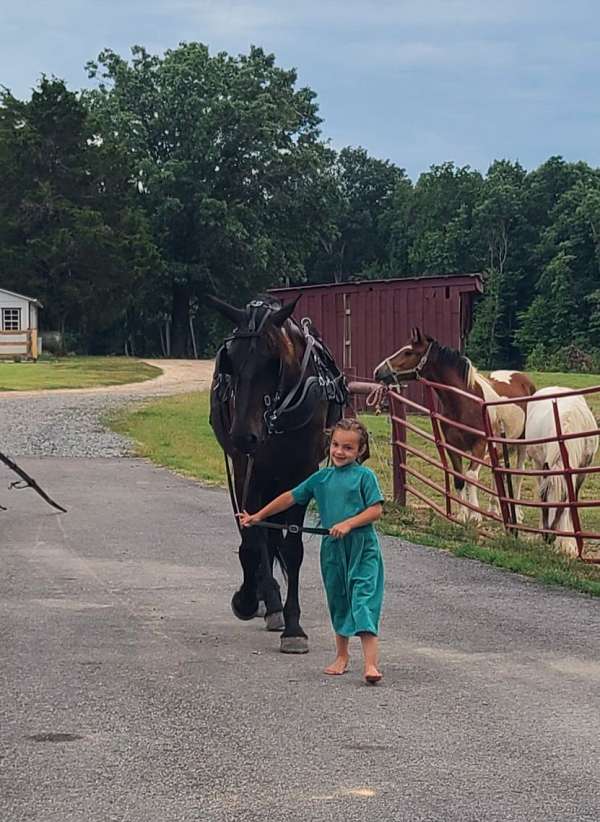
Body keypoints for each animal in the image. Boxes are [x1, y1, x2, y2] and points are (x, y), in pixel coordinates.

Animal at [209, 292, 346, 652]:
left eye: (273, 360)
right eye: (230, 360)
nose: (245, 435)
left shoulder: (302, 472)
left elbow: (292, 549)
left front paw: (294, 627)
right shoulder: (247, 469)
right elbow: (253, 539)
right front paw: (247, 598)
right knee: (261, 537)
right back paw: (268, 601)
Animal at [372, 328, 536, 520]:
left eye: (408, 352)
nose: (377, 371)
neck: (465, 401)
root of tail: (523, 379)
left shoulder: (479, 445)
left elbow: (471, 476)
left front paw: (475, 515)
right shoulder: (452, 445)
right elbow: (459, 478)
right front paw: (462, 516)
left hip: (521, 443)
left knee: (518, 475)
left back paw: (516, 513)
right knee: (499, 471)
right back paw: (494, 509)